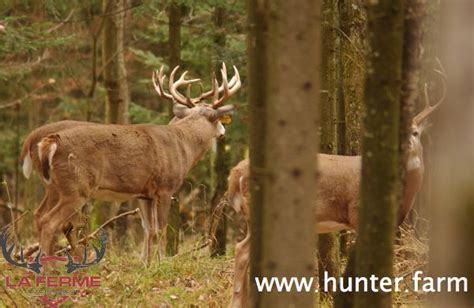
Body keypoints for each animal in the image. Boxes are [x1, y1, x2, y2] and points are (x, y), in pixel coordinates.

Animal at [28, 63, 241, 262]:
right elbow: (162, 229)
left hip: (53, 186)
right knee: (49, 221)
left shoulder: (144, 193)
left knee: (38, 215)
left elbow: (149, 229)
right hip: (76, 187)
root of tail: (50, 141)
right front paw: (163, 262)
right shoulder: (165, 188)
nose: (223, 132)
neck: (184, 146)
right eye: (218, 120)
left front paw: (146, 263)